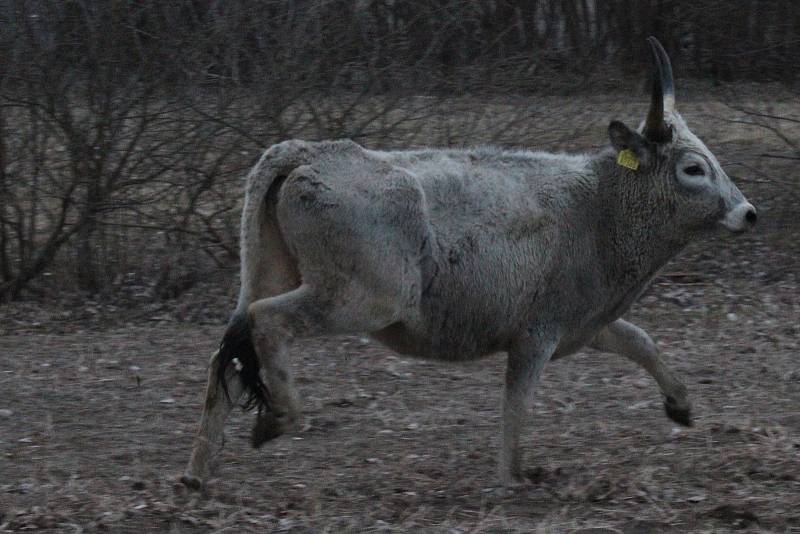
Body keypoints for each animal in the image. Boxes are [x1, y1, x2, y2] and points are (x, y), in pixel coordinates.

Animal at [181, 36, 756, 490]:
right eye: (693, 168)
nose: (748, 212)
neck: (598, 206)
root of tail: (309, 154)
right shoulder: (536, 332)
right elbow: (517, 403)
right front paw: (513, 477)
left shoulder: (586, 322)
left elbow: (640, 341)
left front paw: (680, 405)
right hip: (361, 297)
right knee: (267, 321)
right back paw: (278, 418)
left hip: (272, 271)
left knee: (230, 352)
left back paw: (198, 472)